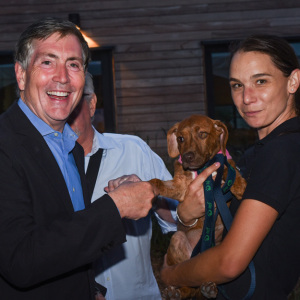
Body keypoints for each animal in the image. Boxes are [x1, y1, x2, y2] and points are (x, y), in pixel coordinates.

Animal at [150, 115, 246, 300]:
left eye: (203, 134)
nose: (187, 156)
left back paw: (207, 289)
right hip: (178, 239)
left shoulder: (224, 161)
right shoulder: (180, 187)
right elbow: (158, 182)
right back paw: (177, 292)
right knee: (187, 283)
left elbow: (228, 167)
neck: (203, 168)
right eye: (180, 138)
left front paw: (238, 185)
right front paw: (147, 185)